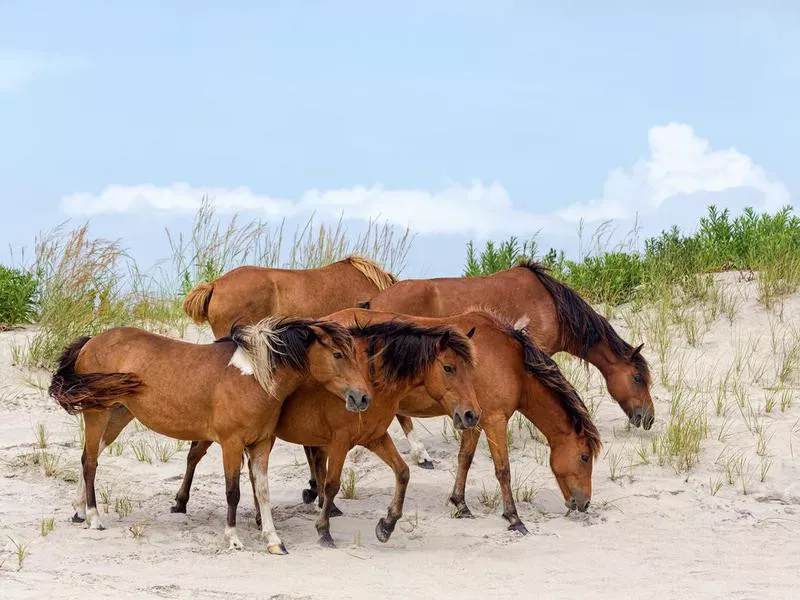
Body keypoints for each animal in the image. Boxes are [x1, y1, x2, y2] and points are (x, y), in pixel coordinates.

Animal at [51, 316, 370, 556]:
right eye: (338, 355)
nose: (362, 397)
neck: (253, 378)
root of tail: (90, 342)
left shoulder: (261, 444)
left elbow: (262, 491)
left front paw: (274, 541)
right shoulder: (231, 444)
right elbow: (233, 492)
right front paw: (233, 539)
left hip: (118, 414)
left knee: (89, 456)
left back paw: (79, 511)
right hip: (97, 413)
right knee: (90, 462)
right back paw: (94, 518)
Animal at [162, 310, 482, 548]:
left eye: (471, 369)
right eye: (449, 368)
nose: (471, 415)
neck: (371, 379)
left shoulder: (375, 438)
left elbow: (402, 472)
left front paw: (387, 525)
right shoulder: (340, 440)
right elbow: (332, 483)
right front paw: (324, 530)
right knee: (194, 455)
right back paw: (180, 502)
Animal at [304, 310, 604, 536]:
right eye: (584, 457)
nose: (585, 503)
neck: (511, 361)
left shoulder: (474, 419)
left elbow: (465, 459)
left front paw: (461, 504)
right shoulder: (494, 420)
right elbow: (503, 470)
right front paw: (514, 518)